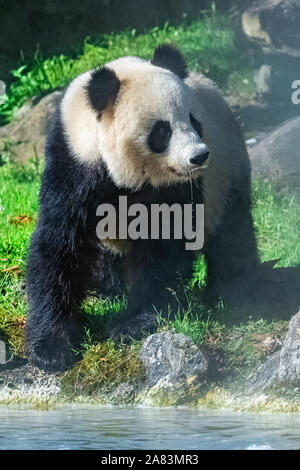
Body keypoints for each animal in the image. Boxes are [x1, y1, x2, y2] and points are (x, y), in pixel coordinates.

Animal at [26, 44, 260, 370]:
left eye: (195, 121)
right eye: (162, 131)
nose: (199, 156)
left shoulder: (176, 187)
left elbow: (163, 248)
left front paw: (132, 324)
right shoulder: (73, 162)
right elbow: (60, 245)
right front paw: (51, 348)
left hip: (227, 170)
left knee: (231, 234)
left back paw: (234, 293)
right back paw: (109, 288)